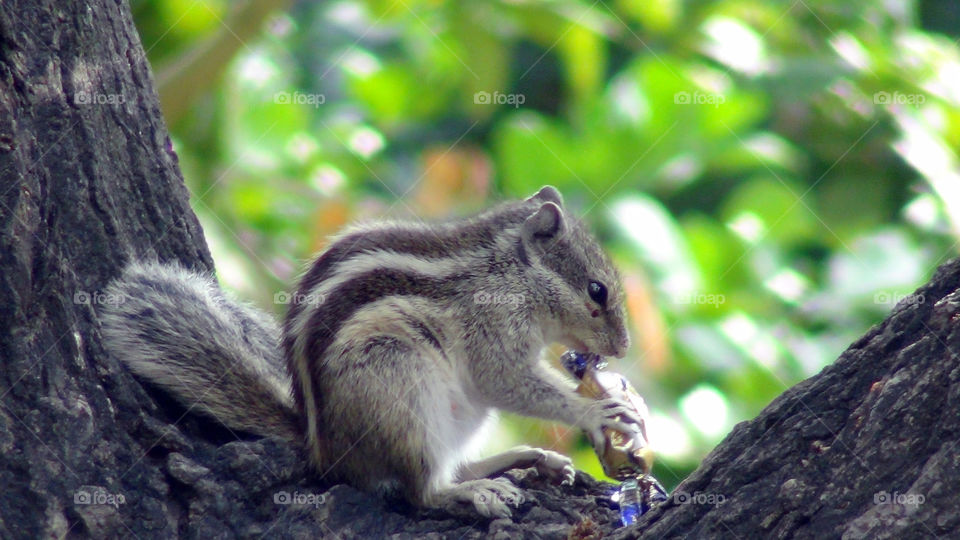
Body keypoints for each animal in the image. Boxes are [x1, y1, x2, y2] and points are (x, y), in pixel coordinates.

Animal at [99, 186, 643, 518]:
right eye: (597, 291)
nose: (622, 347)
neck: (508, 272)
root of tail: (325, 450)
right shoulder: (492, 335)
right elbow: (506, 381)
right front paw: (598, 412)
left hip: (454, 412)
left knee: (450, 462)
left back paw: (526, 459)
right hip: (399, 381)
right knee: (422, 489)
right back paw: (469, 491)